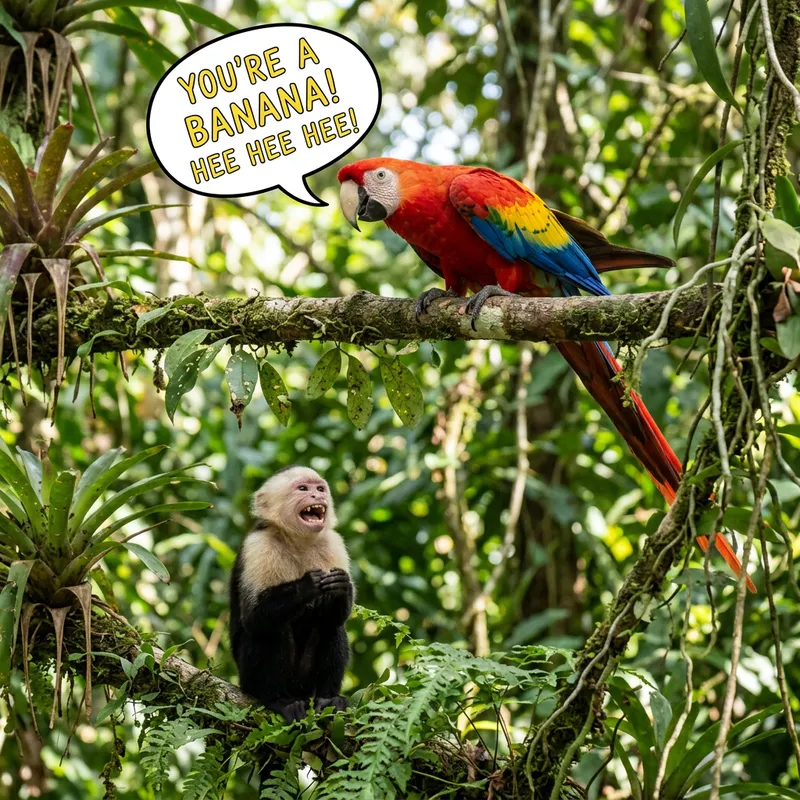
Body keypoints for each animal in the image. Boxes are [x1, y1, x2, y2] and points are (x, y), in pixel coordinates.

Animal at [229, 466, 353, 722]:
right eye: (303, 489)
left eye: (320, 488)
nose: (317, 496)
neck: (297, 541)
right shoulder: (259, 545)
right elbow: (254, 617)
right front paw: (308, 584)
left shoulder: (334, 543)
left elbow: (337, 616)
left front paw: (341, 586)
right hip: (248, 679)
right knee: (271, 630)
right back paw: (278, 700)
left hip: (305, 683)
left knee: (330, 626)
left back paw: (328, 698)